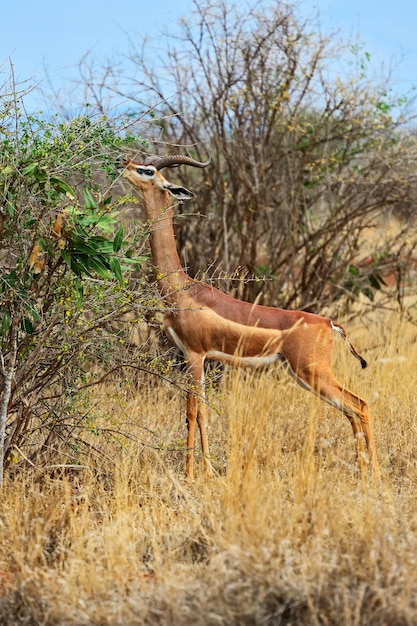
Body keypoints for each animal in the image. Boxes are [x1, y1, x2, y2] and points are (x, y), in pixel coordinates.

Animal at [117, 154, 376, 480]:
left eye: (148, 171)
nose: (120, 161)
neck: (181, 288)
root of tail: (329, 323)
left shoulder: (194, 354)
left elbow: (190, 412)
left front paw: (189, 475)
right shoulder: (201, 358)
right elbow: (203, 413)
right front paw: (209, 472)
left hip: (313, 373)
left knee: (361, 405)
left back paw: (375, 475)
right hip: (304, 375)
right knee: (352, 411)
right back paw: (362, 473)